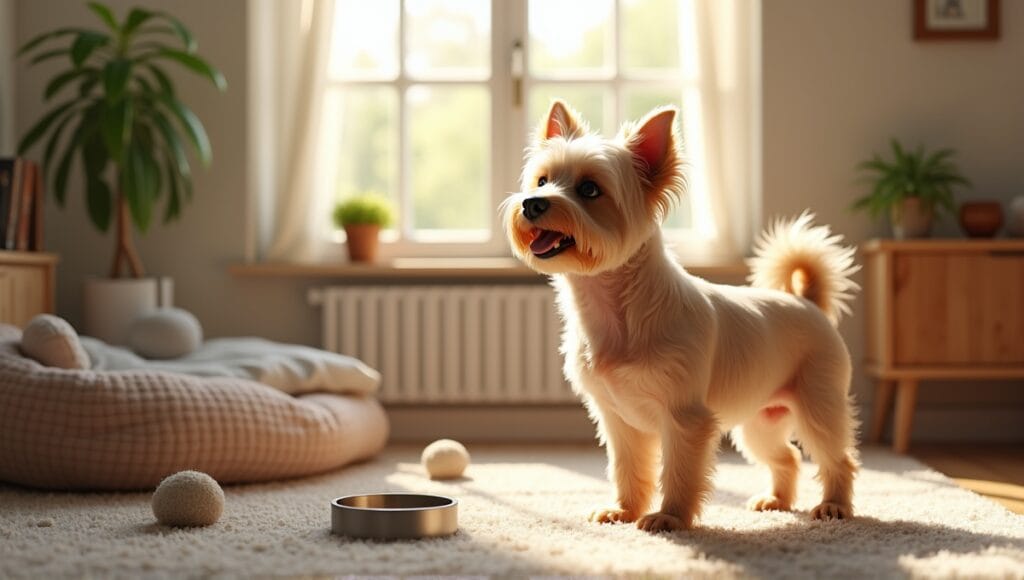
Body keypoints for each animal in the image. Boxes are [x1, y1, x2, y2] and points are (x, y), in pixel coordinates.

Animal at [499, 99, 860, 532]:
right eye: (541, 181)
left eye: (589, 189)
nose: (532, 203)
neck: (619, 309)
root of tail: (808, 301)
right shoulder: (619, 423)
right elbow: (628, 470)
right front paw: (622, 510)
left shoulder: (685, 420)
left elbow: (679, 472)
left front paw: (669, 517)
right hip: (760, 423)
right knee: (787, 457)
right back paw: (776, 501)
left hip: (818, 409)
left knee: (839, 458)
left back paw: (834, 507)